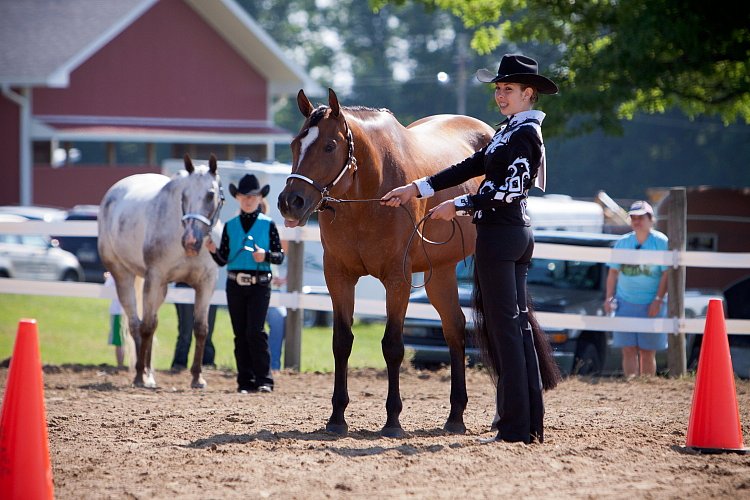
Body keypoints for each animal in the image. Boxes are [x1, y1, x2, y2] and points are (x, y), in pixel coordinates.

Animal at [96, 154, 223, 388]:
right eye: (184, 195)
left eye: (210, 195)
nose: (190, 241)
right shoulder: (154, 278)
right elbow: (145, 327)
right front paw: (139, 376)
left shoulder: (206, 283)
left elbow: (201, 328)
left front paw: (197, 377)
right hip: (123, 276)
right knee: (137, 324)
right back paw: (144, 375)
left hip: (162, 289)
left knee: (151, 323)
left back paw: (150, 373)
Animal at [280, 88, 496, 436]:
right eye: (295, 144)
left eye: (329, 146)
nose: (290, 202)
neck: (368, 195)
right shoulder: (338, 276)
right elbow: (342, 342)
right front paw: (337, 418)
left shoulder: (397, 279)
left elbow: (393, 346)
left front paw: (393, 420)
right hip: (440, 273)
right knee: (454, 329)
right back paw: (455, 416)